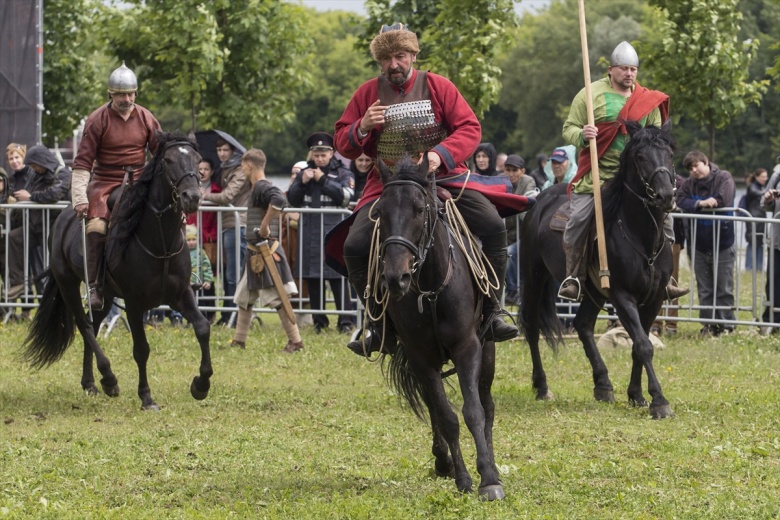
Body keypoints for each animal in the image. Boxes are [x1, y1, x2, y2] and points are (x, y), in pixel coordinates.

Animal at [22, 133, 212, 410]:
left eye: (198, 160)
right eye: (167, 161)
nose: (193, 196)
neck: (159, 241)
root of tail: (62, 218)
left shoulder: (181, 295)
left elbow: (203, 328)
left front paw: (201, 385)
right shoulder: (134, 304)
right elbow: (141, 349)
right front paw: (146, 397)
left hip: (106, 294)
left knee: (94, 322)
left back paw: (92, 382)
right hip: (68, 284)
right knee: (85, 325)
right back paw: (108, 377)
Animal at [372, 155, 506, 500]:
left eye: (419, 209)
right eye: (380, 212)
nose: (396, 278)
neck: (432, 289)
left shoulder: (468, 347)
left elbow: (473, 411)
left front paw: (489, 478)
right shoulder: (420, 357)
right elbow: (445, 416)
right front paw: (462, 477)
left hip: (488, 351)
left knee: (488, 405)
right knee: (435, 407)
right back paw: (443, 460)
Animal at [516, 121, 676, 418]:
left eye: (669, 155)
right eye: (640, 157)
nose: (666, 196)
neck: (640, 236)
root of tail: (541, 199)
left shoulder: (655, 298)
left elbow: (639, 344)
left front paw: (636, 395)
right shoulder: (622, 296)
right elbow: (643, 345)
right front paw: (659, 401)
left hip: (593, 291)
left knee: (582, 324)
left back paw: (603, 384)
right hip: (534, 276)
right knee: (532, 326)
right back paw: (542, 387)